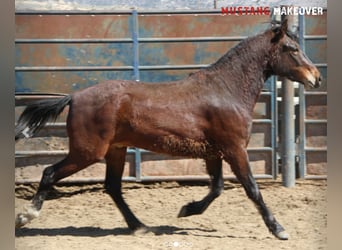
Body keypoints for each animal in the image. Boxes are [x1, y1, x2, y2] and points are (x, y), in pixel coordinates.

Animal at [15, 18, 320, 239]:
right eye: (292, 49)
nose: (316, 77)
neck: (226, 90)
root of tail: (74, 97)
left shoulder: (215, 152)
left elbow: (217, 188)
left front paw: (187, 210)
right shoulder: (235, 150)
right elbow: (252, 189)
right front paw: (279, 230)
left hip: (116, 150)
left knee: (112, 187)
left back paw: (140, 227)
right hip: (88, 152)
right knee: (49, 173)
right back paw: (26, 217)